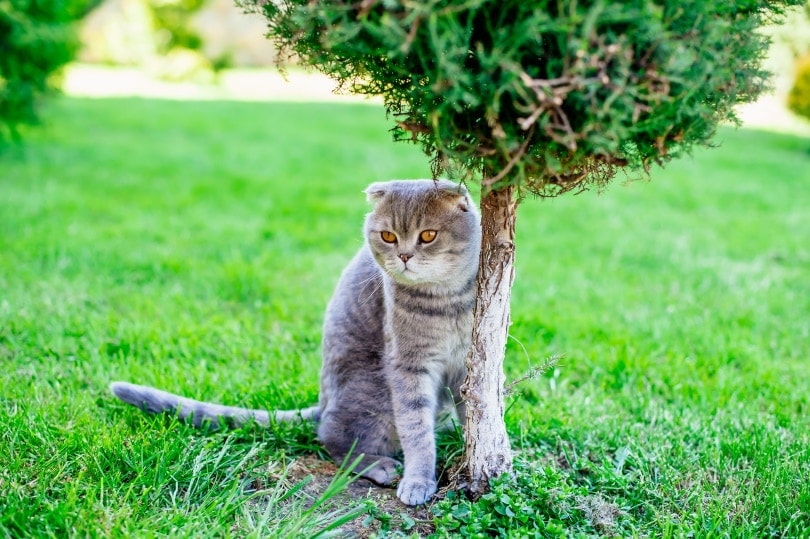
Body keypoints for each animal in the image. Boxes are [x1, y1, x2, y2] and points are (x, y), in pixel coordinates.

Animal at [112, 179, 480, 508]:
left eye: (428, 235)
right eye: (388, 236)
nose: (403, 255)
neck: (446, 300)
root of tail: (323, 400)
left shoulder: (466, 366)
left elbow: (472, 414)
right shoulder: (408, 365)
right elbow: (416, 430)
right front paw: (418, 482)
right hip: (372, 387)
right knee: (333, 436)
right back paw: (380, 466)